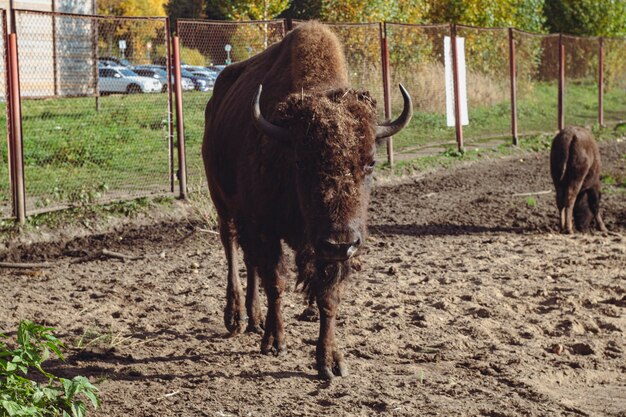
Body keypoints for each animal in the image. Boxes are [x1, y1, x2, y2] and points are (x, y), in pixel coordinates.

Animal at [202, 21, 412, 376]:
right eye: (300, 161)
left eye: (370, 162)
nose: (341, 241)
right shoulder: (266, 227)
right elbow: (276, 283)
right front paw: (275, 342)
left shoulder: (326, 248)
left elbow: (328, 297)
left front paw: (330, 361)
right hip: (222, 201)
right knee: (231, 247)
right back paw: (238, 317)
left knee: (249, 261)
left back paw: (255, 318)